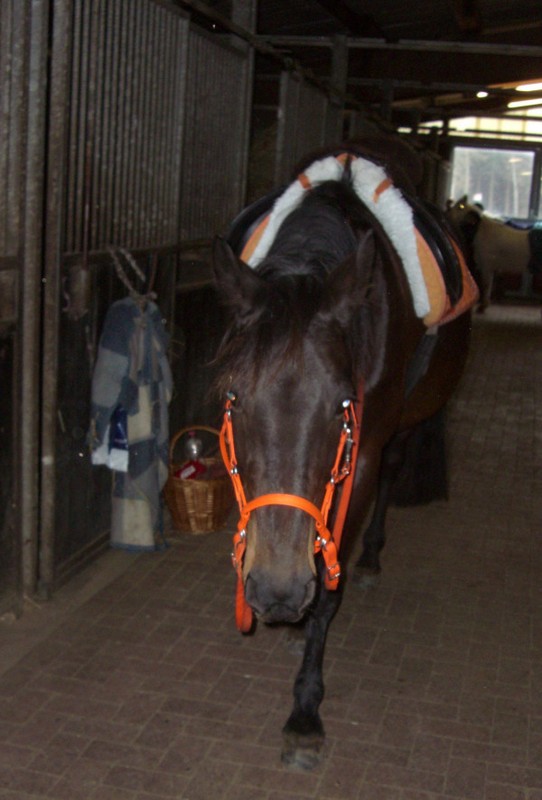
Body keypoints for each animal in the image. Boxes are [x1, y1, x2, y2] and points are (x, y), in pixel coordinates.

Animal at [212, 145, 476, 770]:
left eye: (343, 406)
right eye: (232, 397)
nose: (277, 591)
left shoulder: (361, 460)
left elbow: (332, 589)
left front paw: (305, 713)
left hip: (406, 427)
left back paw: (373, 558)